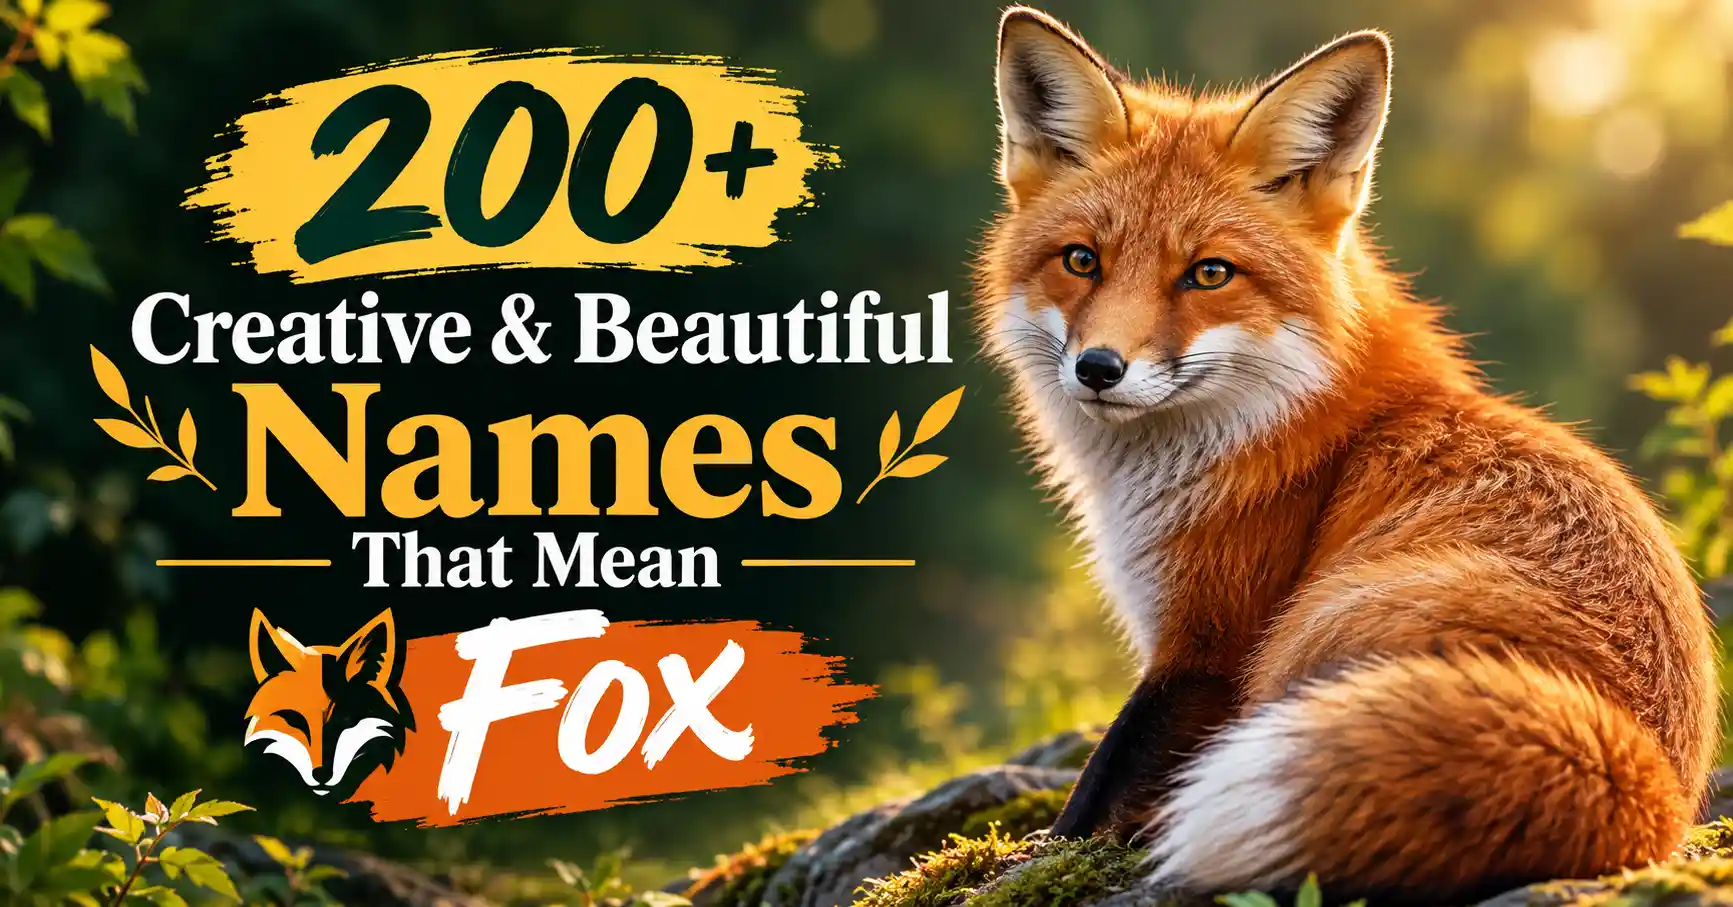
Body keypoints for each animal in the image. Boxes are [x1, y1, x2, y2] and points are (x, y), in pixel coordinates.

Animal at [978, 6, 1719, 902]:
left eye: (1208, 273)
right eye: (1081, 260)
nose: (1097, 368)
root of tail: (1649, 789)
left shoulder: (1212, 638)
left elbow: (1102, 780)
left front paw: (1033, 861)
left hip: (1321, 624)